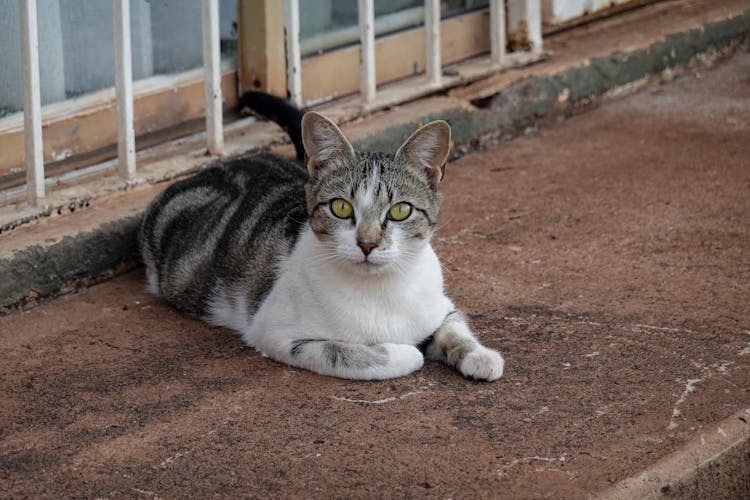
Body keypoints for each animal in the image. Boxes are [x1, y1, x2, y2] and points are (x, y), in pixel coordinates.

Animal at [141, 92, 506, 380]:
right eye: (341, 208)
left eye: (401, 210)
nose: (367, 243)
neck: (379, 289)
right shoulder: (276, 333)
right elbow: (352, 353)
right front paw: (406, 352)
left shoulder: (439, 306)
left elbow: (455, 327)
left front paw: (480, 356)